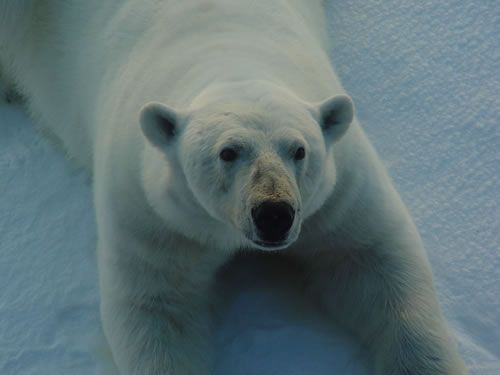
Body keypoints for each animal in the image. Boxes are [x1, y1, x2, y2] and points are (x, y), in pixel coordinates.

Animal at [0, 0, 468, 375]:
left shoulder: (338, 193)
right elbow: (155, 306)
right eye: (228, 152)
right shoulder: (154, 215)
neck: (232, 58)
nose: (274, 214)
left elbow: (374, 264)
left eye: (299, 150)